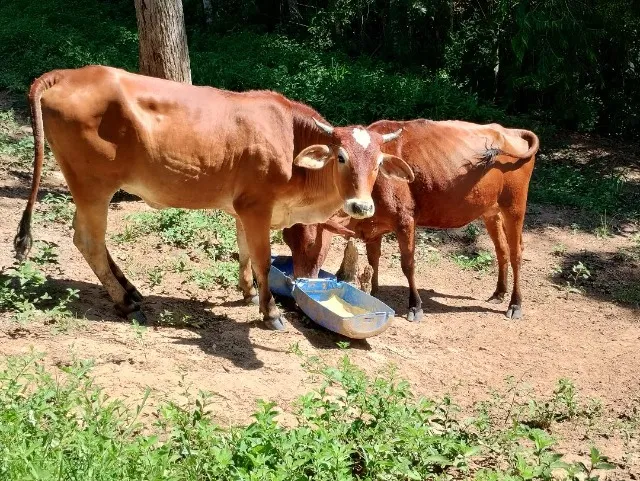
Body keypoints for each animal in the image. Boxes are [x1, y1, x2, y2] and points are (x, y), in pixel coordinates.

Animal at [13, 66, 414, 330]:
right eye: (341, 157)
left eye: (379, 163)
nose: (361, 206)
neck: (291, 143)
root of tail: (68, 74)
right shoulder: (256, 207)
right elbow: (263, 259)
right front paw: (270, 312)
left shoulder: (242, 208)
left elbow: (244, 252)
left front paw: (248, 293)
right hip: (93, 185)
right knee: (88, 240)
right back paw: (126, 303)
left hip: (89, 188)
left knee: (90, 238)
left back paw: (131, 289)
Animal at [283, 119, 539, 321]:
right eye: (340, 157)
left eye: (378, 162)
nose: (299, 282)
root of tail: (509, 130)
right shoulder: (373, 227)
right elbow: (373, 259)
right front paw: (372, 292)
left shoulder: (406, 220)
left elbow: (408, 264)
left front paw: (415, 306)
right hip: (490, 211)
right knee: (501, 250)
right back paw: (499, 293)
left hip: (514, 206)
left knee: (516, 252)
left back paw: (515, 303)